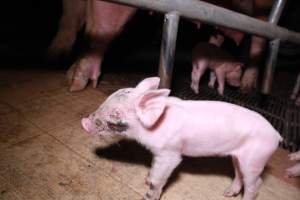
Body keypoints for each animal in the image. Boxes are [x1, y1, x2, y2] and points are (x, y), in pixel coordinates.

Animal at [81, 77, 282, 200]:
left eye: (115, 114)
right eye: (106, 99)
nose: (84, 122)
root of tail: (276, 134)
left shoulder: (170, 153)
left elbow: (158, 179)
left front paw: (147, 194)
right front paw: (146, 178)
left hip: (255, 158)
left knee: (255, 183)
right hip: (238, 156)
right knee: (239, 174)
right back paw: (227, 193)